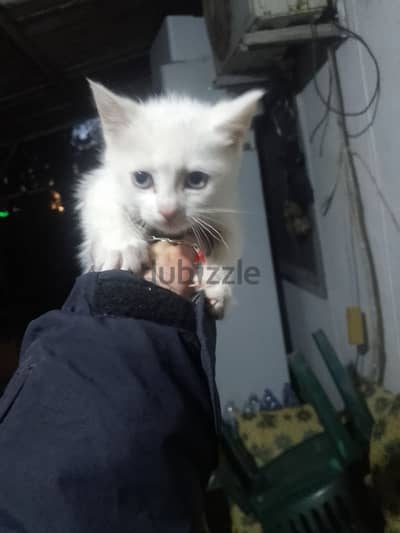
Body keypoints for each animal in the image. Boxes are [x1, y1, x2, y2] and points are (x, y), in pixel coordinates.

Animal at [76, 81, 262, 316]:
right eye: (141, 178)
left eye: (196, 180)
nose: (168, 211)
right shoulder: (98, 182)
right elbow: (103, 204)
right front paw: (122, 247)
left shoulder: (226, 209)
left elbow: (229, 248)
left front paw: (217, 285)